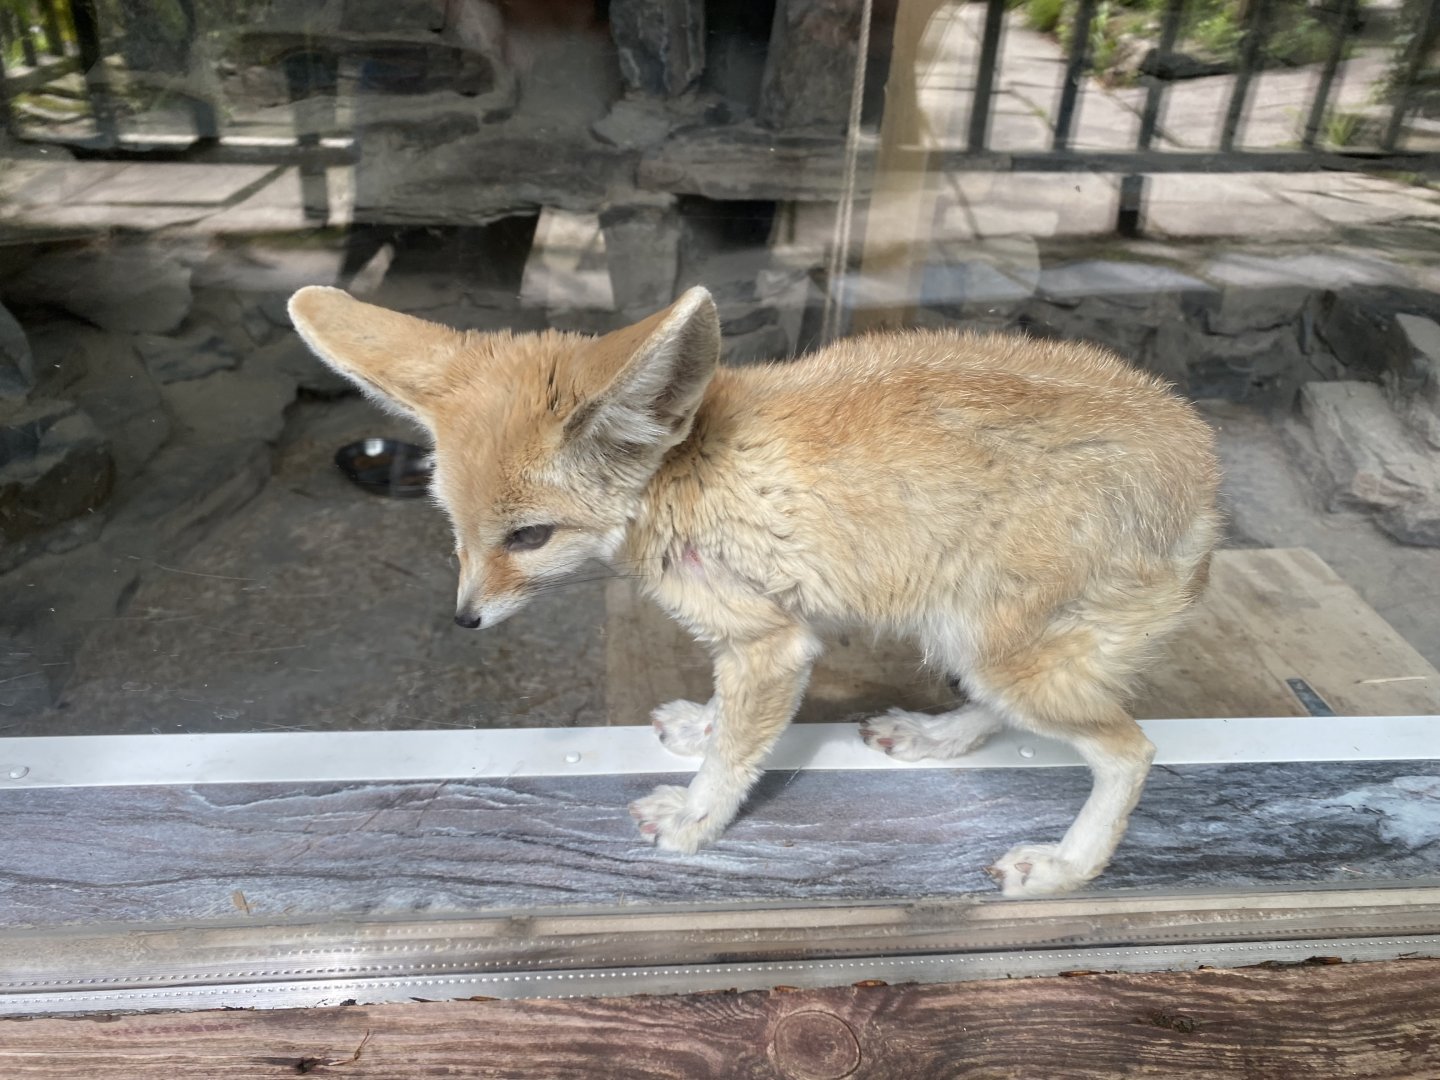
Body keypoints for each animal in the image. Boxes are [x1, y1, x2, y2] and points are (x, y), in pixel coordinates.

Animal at [289, 284, 1221, 897]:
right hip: (970, 641)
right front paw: (701, 726)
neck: (682, 471)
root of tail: (1205, 469)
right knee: (1008, 712)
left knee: (1130, 751)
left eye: (529, 538)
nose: (466, 618)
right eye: (453, 526)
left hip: (1001, 654)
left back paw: (1067, 866)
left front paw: (696, 821)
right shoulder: (765, 630)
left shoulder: (774, 642)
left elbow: (738, 758)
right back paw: (935, 737)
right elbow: (725, 717)